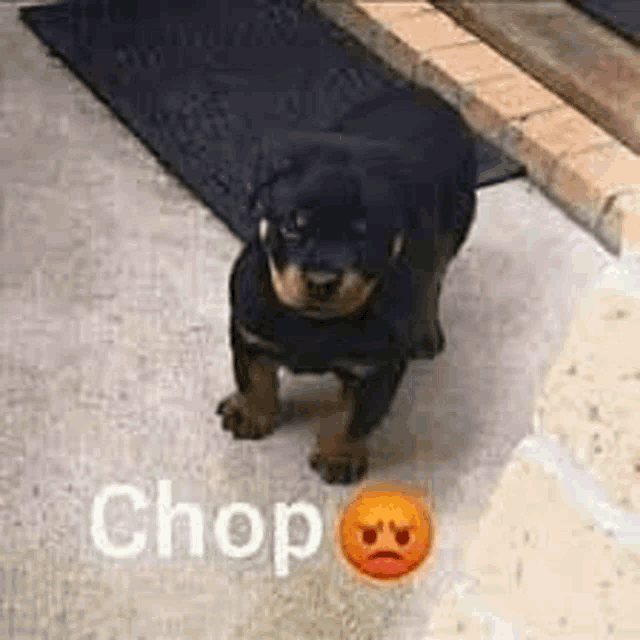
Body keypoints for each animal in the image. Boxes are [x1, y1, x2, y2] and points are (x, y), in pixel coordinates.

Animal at [219, 119, 476, 484]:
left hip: (455, 228)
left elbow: (355, 416)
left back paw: (426, 333)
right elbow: (253, 377)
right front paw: (251, 413)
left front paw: (338, 456)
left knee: (436, 275)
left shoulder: (377, 367)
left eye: (364, 237)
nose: (321, 281)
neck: (314, 322)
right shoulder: (250, 331)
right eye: (293, 227)